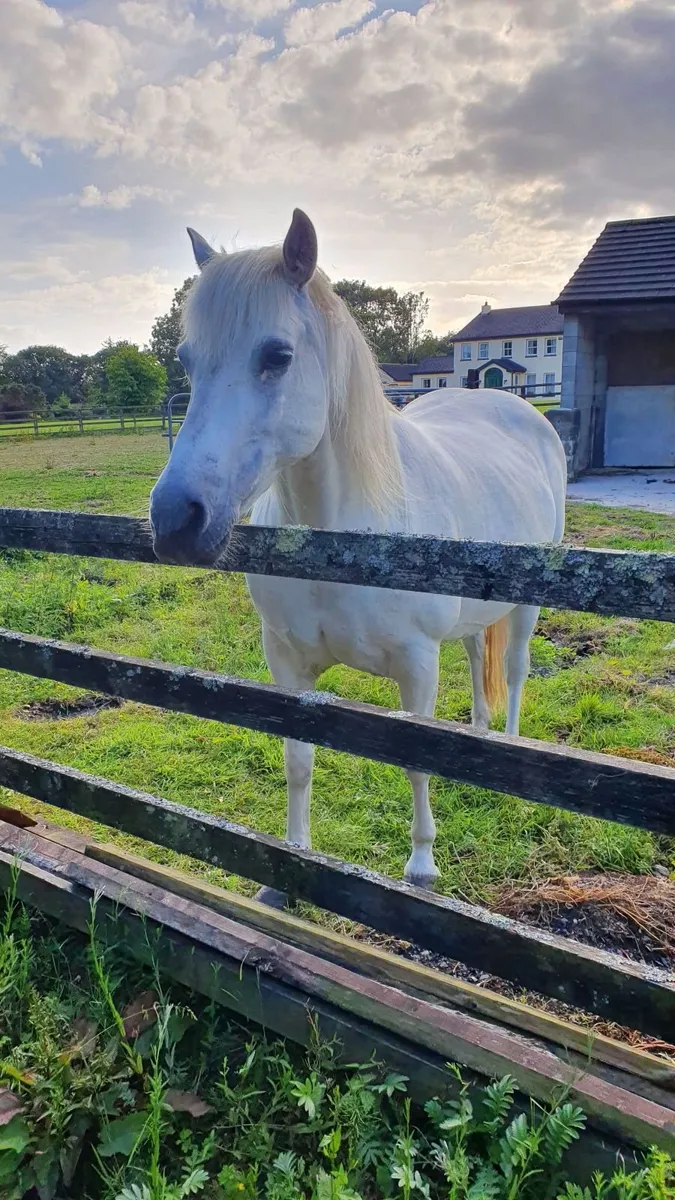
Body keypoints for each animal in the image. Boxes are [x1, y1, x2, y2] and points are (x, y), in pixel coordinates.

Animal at [150, 209, 567, 905]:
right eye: (186, 360)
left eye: (277, 356)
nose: (176, 520)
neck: (340, 542)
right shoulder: (286, 664)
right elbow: (298, 761)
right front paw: (285, 874)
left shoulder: (417, 667)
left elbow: (416, 761)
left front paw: (421, 867)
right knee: (477, 656)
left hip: (528, 602)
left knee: (513, 671)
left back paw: (508, 754)